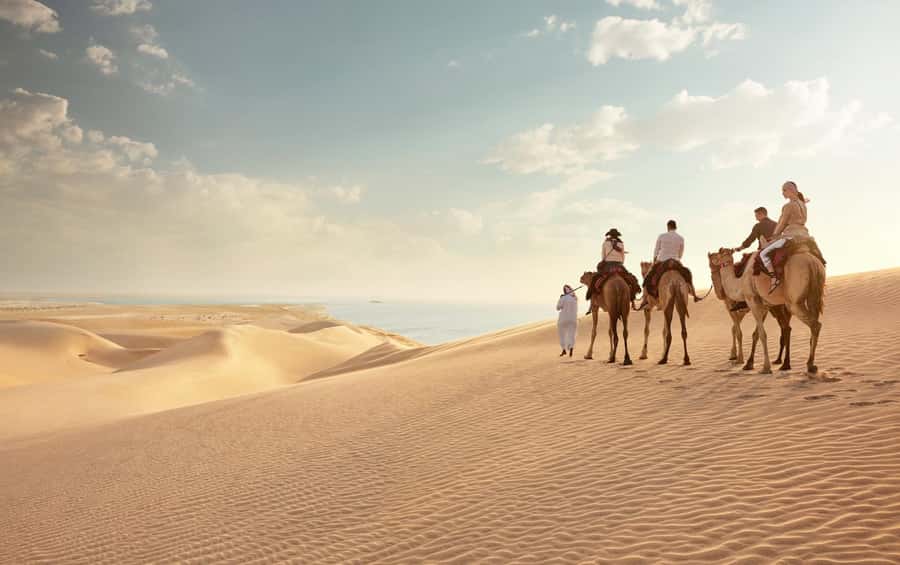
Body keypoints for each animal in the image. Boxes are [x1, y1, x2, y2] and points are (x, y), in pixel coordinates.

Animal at [708, 246, 825, 375]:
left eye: (716, 255)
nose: (709, 255)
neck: (739, 282)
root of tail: (811, 263)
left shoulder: (752, 302)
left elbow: (760, 334)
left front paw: (764, 367)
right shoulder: (764, 306)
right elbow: (755, 334)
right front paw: (748, 363)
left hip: (793, 301)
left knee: (814, 325)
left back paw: (800, 364)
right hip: (813, 294)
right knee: (806, 325)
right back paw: (806, 365)